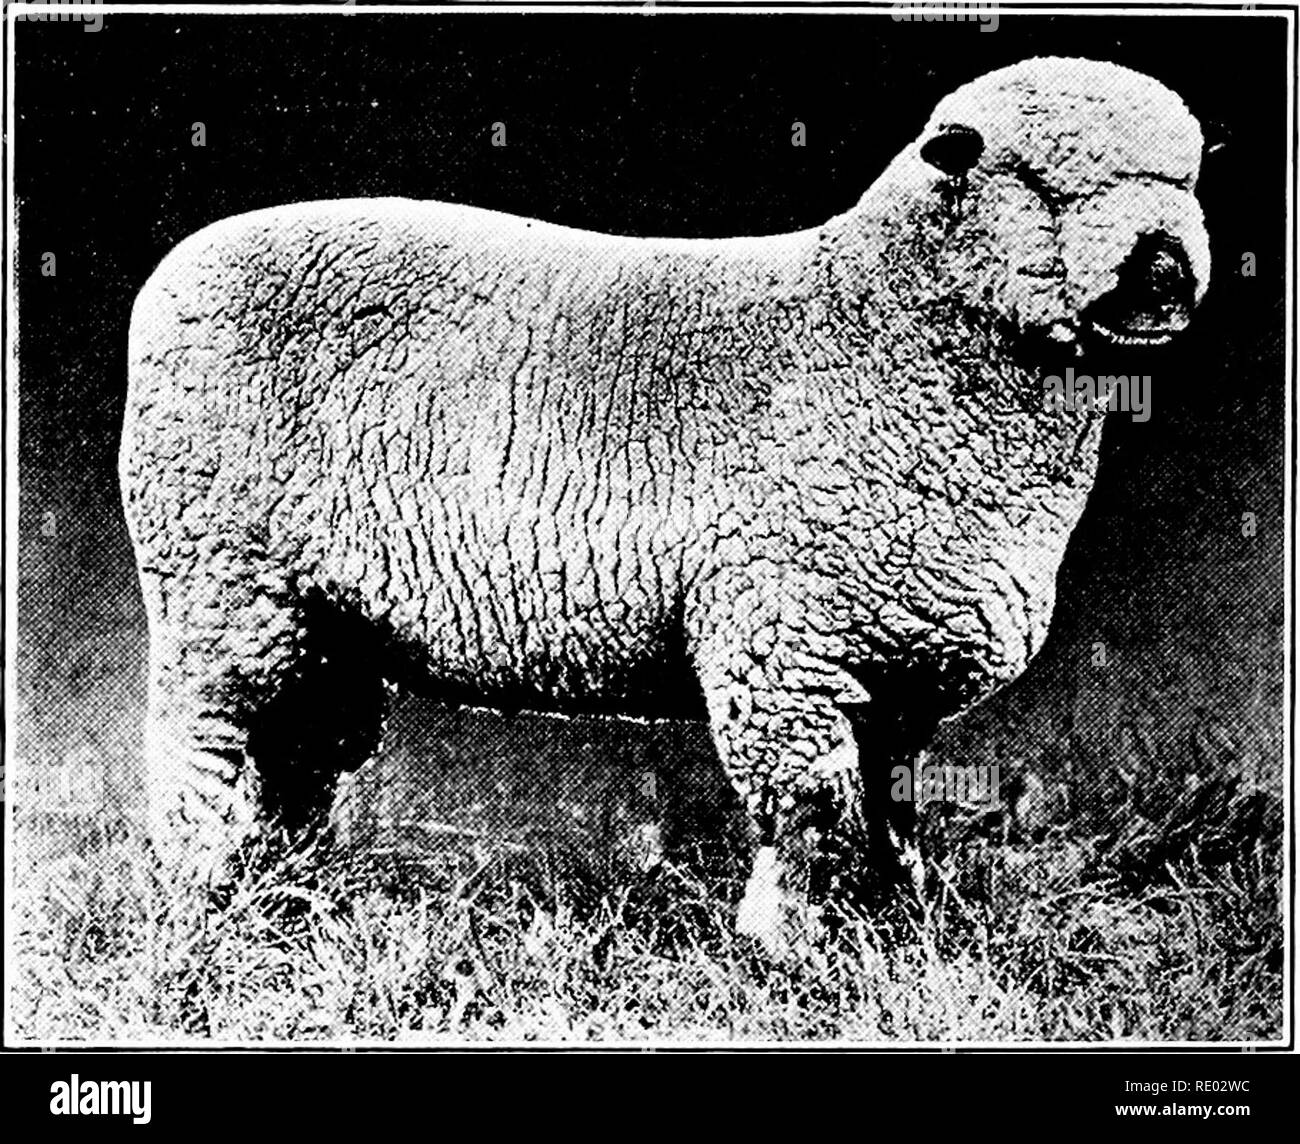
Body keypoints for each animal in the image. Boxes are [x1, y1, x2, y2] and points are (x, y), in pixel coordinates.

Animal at [121, 57, 1210, 949]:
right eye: (1044, 181)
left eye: (1191, 178)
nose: (1165, 267)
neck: (877, 329)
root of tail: (174, 274)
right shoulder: (781, 640)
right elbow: (811, 807)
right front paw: (791, 947)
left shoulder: (888, 658)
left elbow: (888, 803)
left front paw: (897, 917)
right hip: (218, 579)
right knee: (208, 747)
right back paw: (205, 899)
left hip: (323, 617)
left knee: (297, 754)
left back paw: (288, 900)